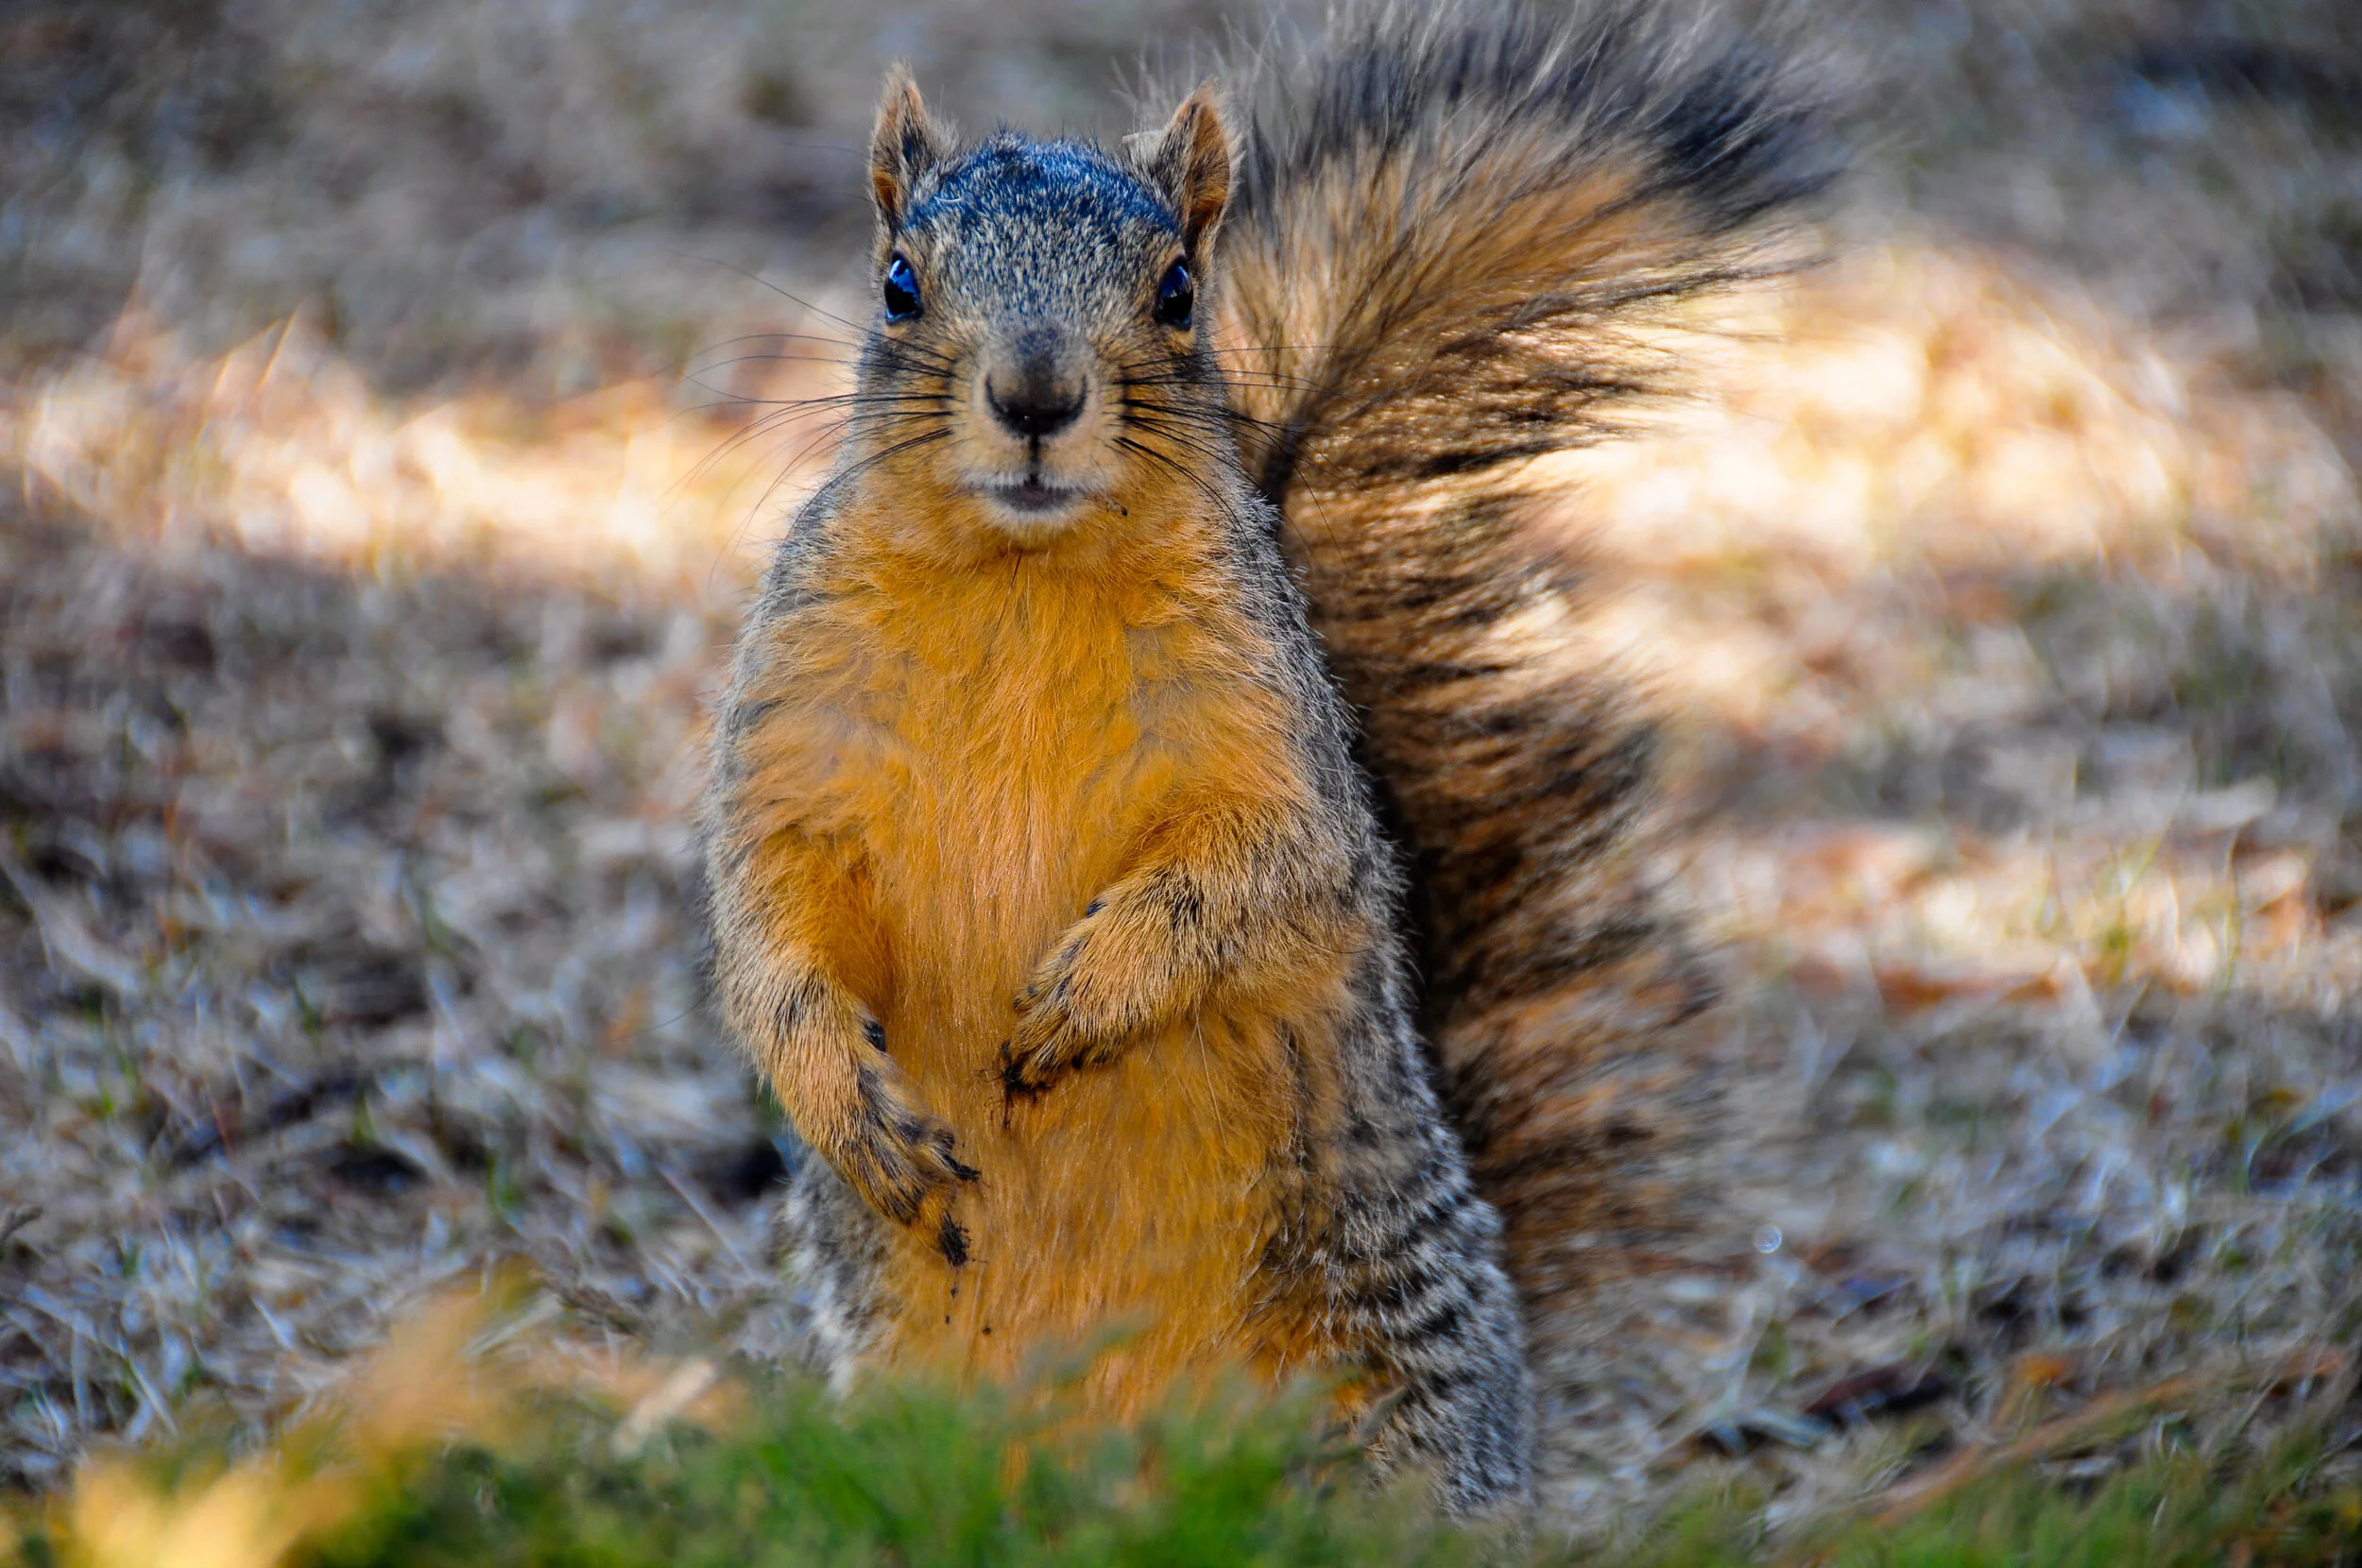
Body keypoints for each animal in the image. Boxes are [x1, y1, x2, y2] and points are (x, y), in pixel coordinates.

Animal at [702, 0, 1830, 1515]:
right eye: (895, 284)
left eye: (1180, 290)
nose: (1036, 393)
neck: (1020, 583)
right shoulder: (792, 732)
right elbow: (766, 925)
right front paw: (844, 1096)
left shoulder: (1280, 748)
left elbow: (1263, 876)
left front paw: (1090, 994)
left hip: (1378, 1396)